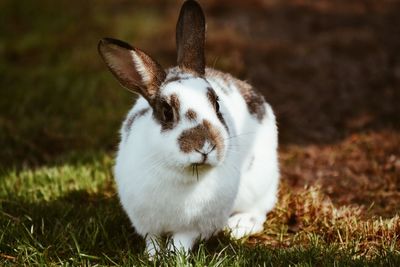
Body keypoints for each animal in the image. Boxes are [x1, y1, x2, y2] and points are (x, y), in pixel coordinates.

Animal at [97, 0, 278, 256]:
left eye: (217, 104)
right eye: (166, 112)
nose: (205, 147)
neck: (182, 173)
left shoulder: (194, 227)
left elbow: (181, 240)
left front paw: (174, 256)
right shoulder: (148, 224)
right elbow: (153, 241)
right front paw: (153, 257)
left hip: (260, 182)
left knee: (259, 211)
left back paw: (238, 226)